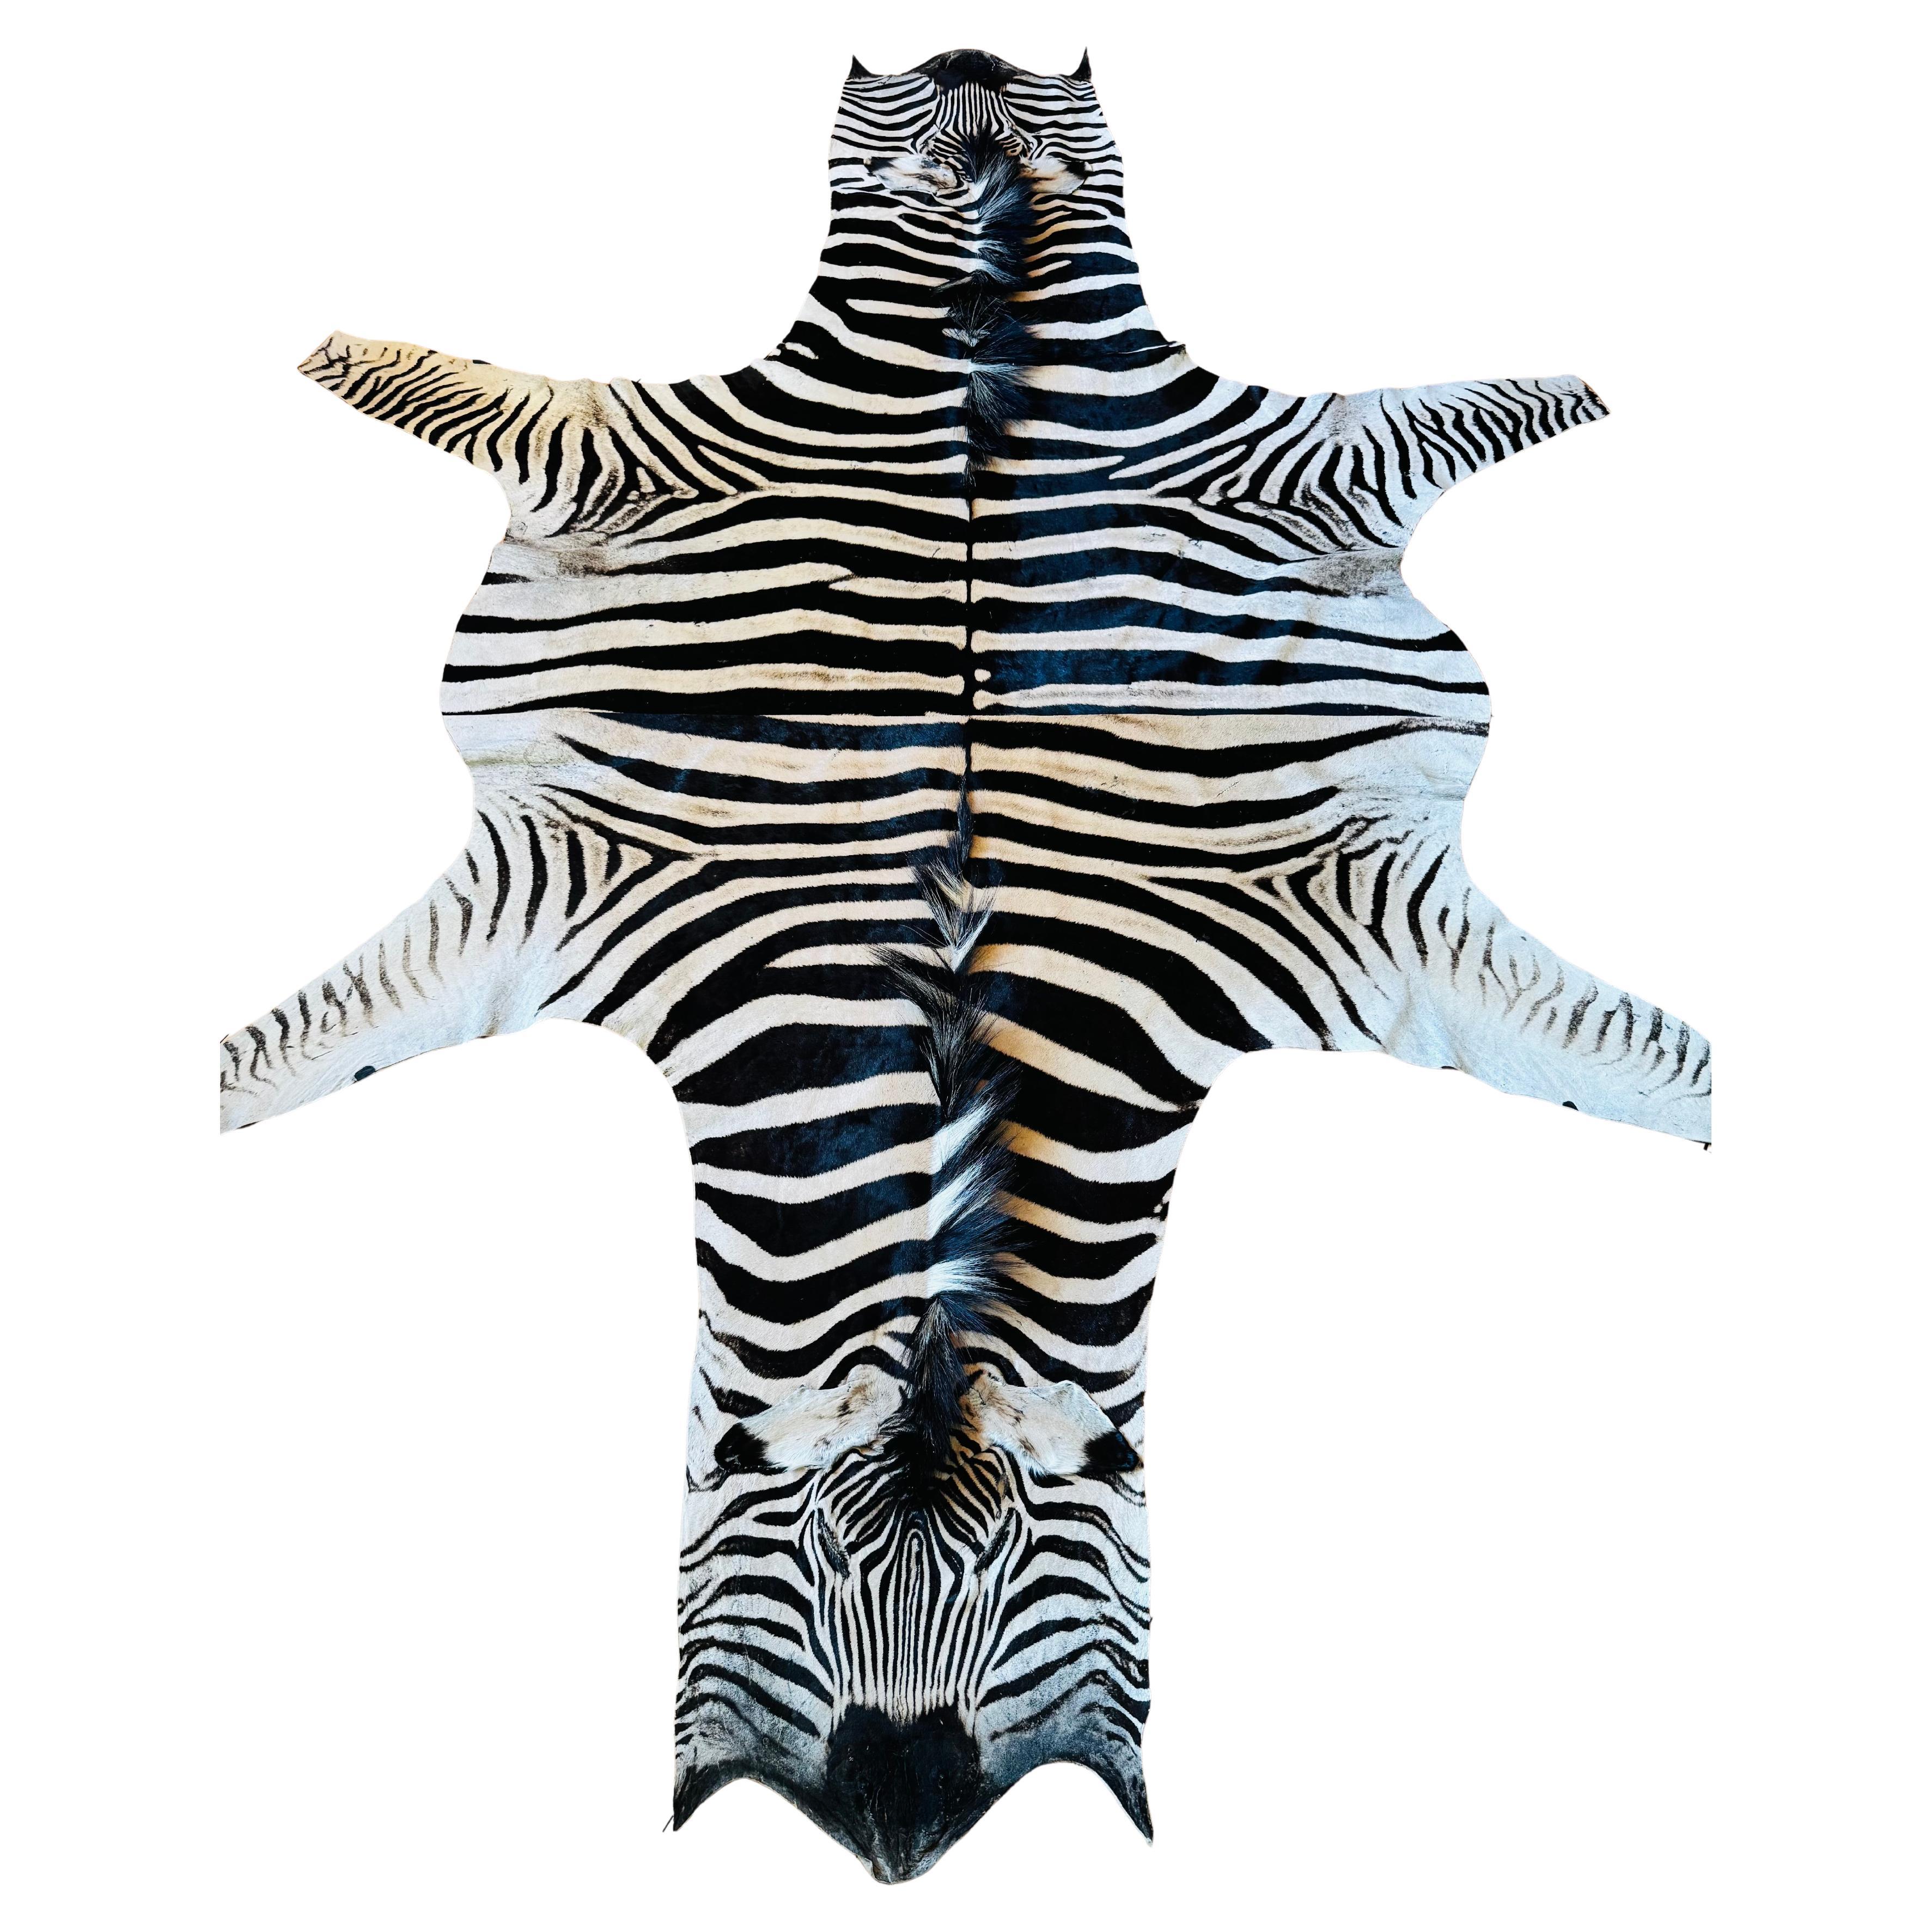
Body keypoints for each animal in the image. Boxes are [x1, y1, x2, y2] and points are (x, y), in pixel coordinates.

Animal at [219, 48, 1711, 1881]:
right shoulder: (588, 764)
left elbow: (1629, 1042)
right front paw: (333, 352)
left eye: (1023, 1581)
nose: (901, 1818)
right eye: (801, 1577)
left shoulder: (1351, 829)